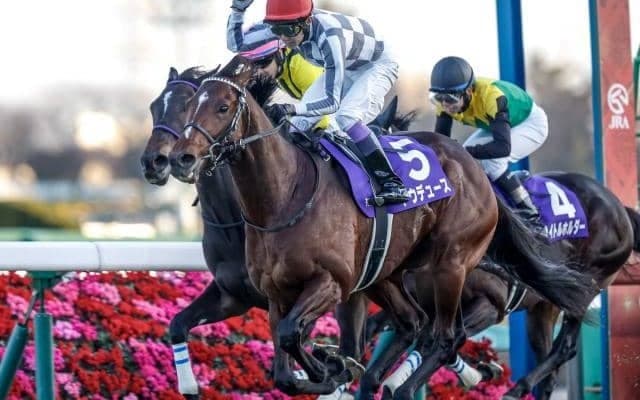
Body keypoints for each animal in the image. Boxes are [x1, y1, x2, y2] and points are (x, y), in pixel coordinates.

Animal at [168, 55, 597, 396]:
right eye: (188, 106)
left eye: (223, 107)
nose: (180, 158)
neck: (284, 196)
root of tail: (474, 171)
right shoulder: (274, 294)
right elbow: (285, 366)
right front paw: (330, 367)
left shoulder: (333, 283)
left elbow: (295, 336)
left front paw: (333, 366)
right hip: (387, 274)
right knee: (415, 323)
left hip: (451, 265)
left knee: (445, 336)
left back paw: (408, 384)